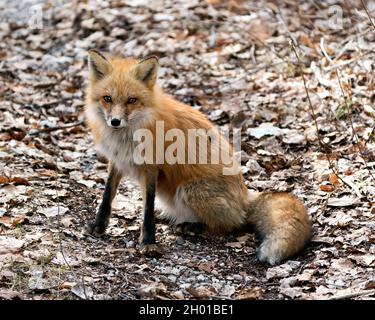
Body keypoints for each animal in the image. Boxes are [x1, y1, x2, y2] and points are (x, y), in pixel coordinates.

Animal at [85, 50, 312, 264]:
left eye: (131, 100)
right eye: (107, 98)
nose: (115, 121)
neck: (126, 136)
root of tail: (245, 198)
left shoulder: (151, 167)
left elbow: (147, 207)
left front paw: (148, 242)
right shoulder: (117, 160)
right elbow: (108, 194)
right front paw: (99, 225)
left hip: (190, 191)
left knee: (231, 225)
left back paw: (193, 227)